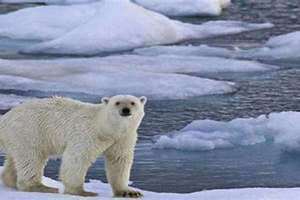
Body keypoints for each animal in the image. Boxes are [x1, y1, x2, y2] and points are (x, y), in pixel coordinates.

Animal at [0, 95, 146, 197]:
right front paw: (82, 191)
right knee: (32, 158)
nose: (125, 110)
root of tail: (6, 117)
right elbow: (77, 158)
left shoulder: (122, 139)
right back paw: (41, 187)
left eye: (133, 103)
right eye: (117, 102)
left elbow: (119, 161)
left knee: (17, 159)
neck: (105, 128)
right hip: (30, 131)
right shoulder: (87, 133)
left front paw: (129, 192)